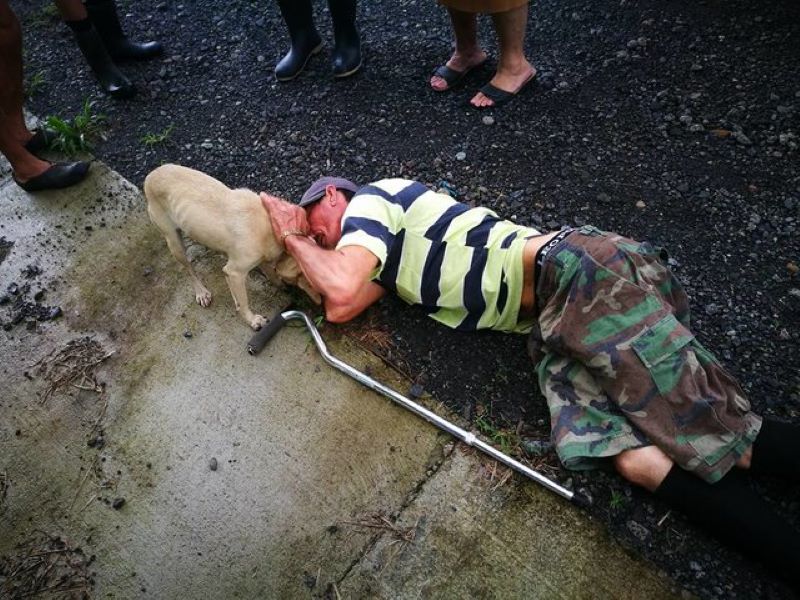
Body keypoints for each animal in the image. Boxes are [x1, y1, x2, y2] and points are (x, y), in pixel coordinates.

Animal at [144, 163, 318, 328]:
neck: (271, 226)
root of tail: (149, 176)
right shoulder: (235, 272)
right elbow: (244, 301)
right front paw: (252, 320)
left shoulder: (252, 264)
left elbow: (266, 277)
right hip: (174, 242)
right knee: (188, 269)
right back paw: (201, 292)